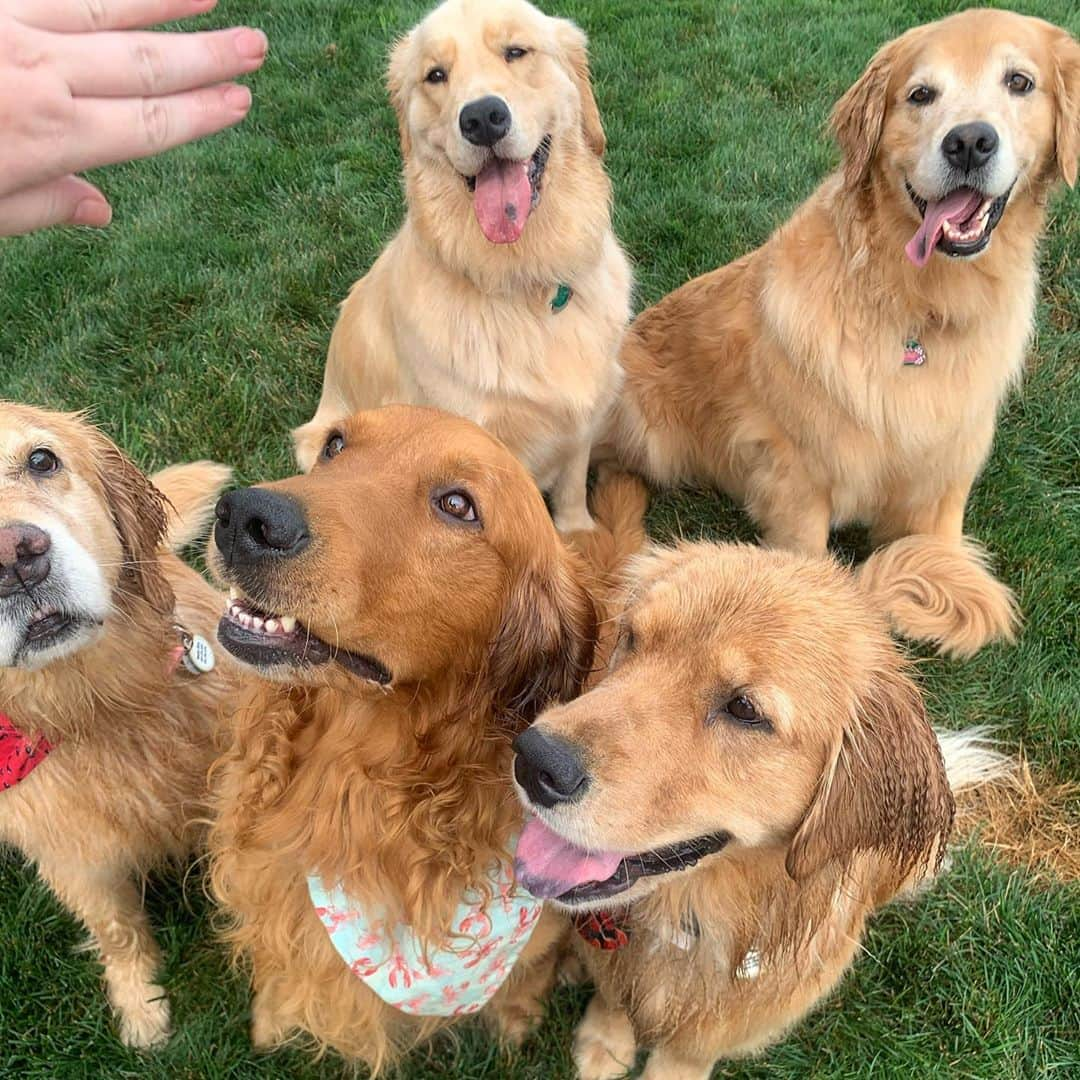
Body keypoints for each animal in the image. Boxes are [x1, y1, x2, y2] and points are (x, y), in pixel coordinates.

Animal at [206, 406, 643, 1071]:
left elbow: (526, 977)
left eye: (458, 505)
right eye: (335, 445)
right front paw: (271, 1019)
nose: (244, 516)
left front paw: (516, 1019)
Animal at [295, 0, 630, 535]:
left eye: (516, 51)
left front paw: (579, 532)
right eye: (436, 75)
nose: (482, 119)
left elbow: (573, 485)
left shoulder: (585, 412)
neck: (521, 283)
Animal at [509, 544, 1006, 1075]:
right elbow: (613, 998)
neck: (692, 918)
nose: (534, 760)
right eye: (632, 638)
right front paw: (604, 1043)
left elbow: (684, 1054)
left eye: (745, 709)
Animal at [604, 10, 1075, 656]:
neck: (918, 308)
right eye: (920, 95)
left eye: (1020, 82)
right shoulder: (797, 476)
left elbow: (937, 553)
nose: (969, 142)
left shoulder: (948, 470)